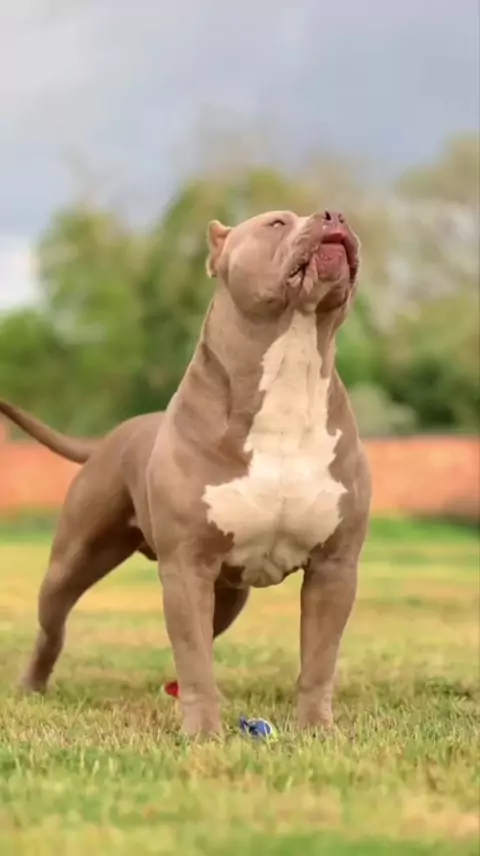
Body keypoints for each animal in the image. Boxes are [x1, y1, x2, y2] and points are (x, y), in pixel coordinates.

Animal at [1, 208, 371, 735]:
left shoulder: (334, 568)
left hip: (229, 594)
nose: (335, 214)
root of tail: (110, 437)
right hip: (71, 563)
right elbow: (194, 657)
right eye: (277, 222)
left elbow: (318, 660)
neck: (289, 374)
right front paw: (203, 734)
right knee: (53, 627)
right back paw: (32, 685)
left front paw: (317, 729)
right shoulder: (186, 568)